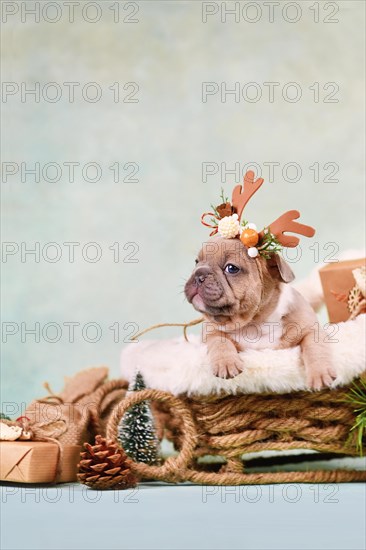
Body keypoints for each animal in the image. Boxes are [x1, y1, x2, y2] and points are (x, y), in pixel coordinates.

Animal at [184, 238, 336, 392]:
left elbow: (315, 349)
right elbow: (219, 341)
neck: (254, 323)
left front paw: (320, 374)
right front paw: (226, 363)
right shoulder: (210, 330)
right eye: (196, 262)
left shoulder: (311, 330)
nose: (198, 274)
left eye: (231, 268)